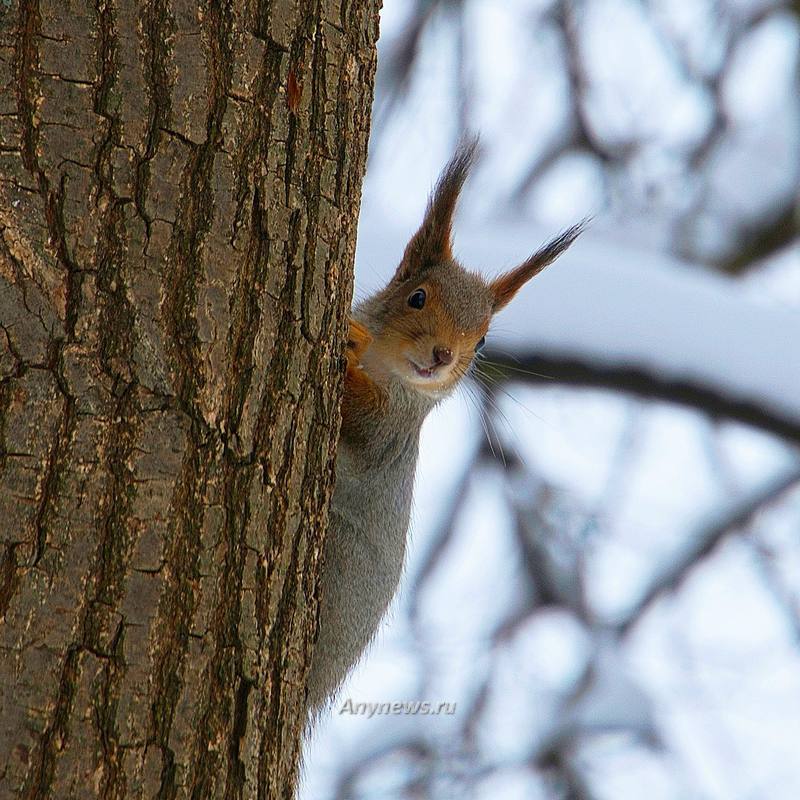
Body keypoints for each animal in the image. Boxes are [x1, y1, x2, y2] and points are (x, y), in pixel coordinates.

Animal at [304, 139, 584, 720]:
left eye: (481, 342)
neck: (390, 371)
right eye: (417, 296)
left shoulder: (393, 430)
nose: (443, 355)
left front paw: (349, 344)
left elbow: (366, 424)